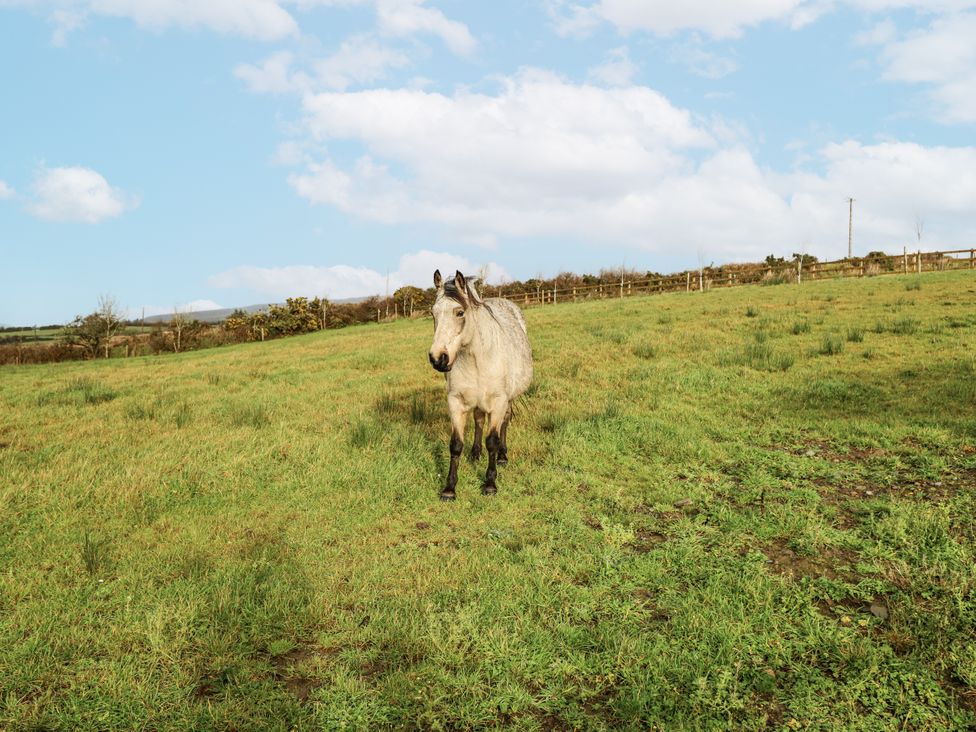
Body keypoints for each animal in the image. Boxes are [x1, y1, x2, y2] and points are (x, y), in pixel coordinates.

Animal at [428, 269, 533, 500]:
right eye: (433, 313)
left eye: (459, 312)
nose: (438, 358)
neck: (476, 358)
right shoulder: (456, 402)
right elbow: (456, 444)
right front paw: (449, 489)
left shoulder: (498, 401)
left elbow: (492, 440)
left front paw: (490, 484)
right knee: (478, 420)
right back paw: (475, 454)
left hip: (508, 400)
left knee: (504, 422)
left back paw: (502, 456)